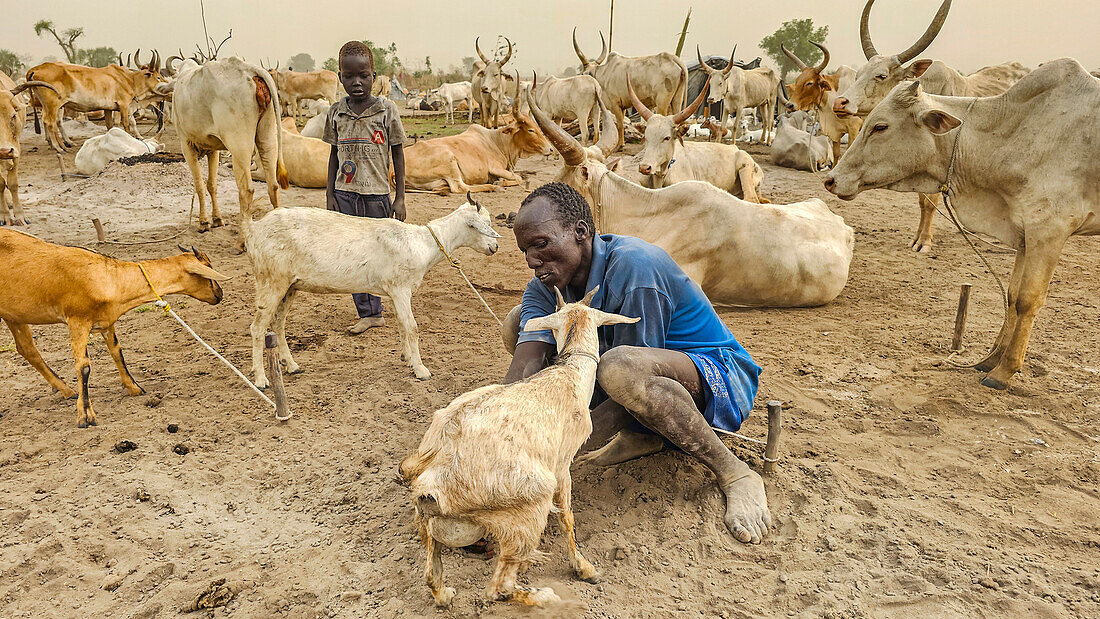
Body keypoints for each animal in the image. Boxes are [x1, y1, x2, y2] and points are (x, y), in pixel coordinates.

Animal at [0, 229, 227, 428]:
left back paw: (67, 391)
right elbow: (83, 367)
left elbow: (117, 352)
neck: (109, 276)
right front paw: (86, 416)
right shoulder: (78, 321)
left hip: (13, 315)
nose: (220, 294)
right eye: (208, 272)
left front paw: (135, 388)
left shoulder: (106, 323)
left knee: (27, 349)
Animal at [245, 195, 503, 384]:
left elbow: (401, 324)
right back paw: (261, 379)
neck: (422, 243)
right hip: (271, 280)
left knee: (278, 323)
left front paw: (407, 358)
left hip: (290, 285)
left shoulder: (396, 292)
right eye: (487, 225)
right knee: (257, 327)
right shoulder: (401, 288)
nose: (495, 247)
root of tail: (253, 229)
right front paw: (421, 369)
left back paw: (291, 366)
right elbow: (412, 327)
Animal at [400, 288, 642, 606]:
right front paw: (585, 568)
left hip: (432, 528)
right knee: (498, 587)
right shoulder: (562, 465)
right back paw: (547, 595)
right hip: (527, 507)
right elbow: (566, 516)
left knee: (432, 577)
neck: (570, 374)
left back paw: (448, 592)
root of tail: (430, 481)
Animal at [827, 61, 1100, 391]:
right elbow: (1012, 297)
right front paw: (991, 359)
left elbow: (1027, 301)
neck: (1016, 134)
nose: (831, 179)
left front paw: (1004, 371)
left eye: (880, 127)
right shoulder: (1025, 233)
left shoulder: (1049, 231)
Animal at [831, 0, 1029, 253]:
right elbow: (921, 201)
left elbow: (930, 203)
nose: (840, 102)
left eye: (881, 75)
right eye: (858, 74)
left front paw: (924, 241)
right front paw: (916, 238)